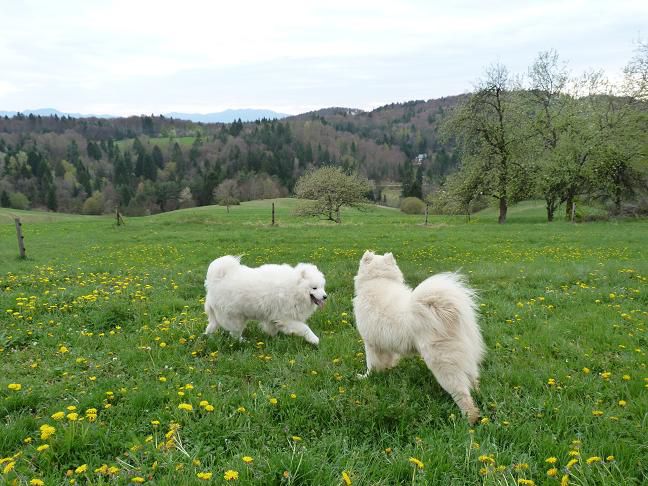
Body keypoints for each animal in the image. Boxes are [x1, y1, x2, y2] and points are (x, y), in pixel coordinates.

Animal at [352, 252, 484, 424]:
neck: (379, 280)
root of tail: (444, 309)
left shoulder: (370, 344)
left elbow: (371, 364)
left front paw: (366, 377)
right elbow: (387, 361)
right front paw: (386, 371)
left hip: (443, 364)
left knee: (462, 393)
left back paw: (469, 418)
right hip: (467, 360)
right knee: (473, 381)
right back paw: (478, 396)